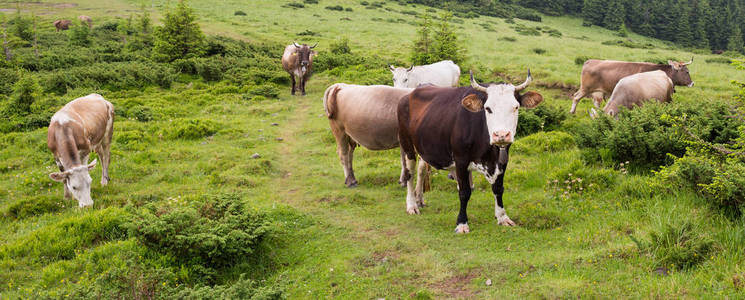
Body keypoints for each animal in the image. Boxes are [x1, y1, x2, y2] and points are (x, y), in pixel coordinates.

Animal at [398, 70, 544, 234]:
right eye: (488, 108)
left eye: (516, 107)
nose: (501, 135)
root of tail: (410, 94)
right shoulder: (461, 160)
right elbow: (464, 192)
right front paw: (462, 223)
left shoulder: (503, 160)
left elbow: (498, 188)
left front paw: (502, 217)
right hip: (407, 144)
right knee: (410, 173)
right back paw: (412, 205)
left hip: (424, 148)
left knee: (422, 170)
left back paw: (419, 199)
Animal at [568, 58, 696, 113]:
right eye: (687, 71)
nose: (692, 83)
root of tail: (590, 61)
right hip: (586, 88)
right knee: (576, 97)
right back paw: (572, 111)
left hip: (597, 91)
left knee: (595, 102)